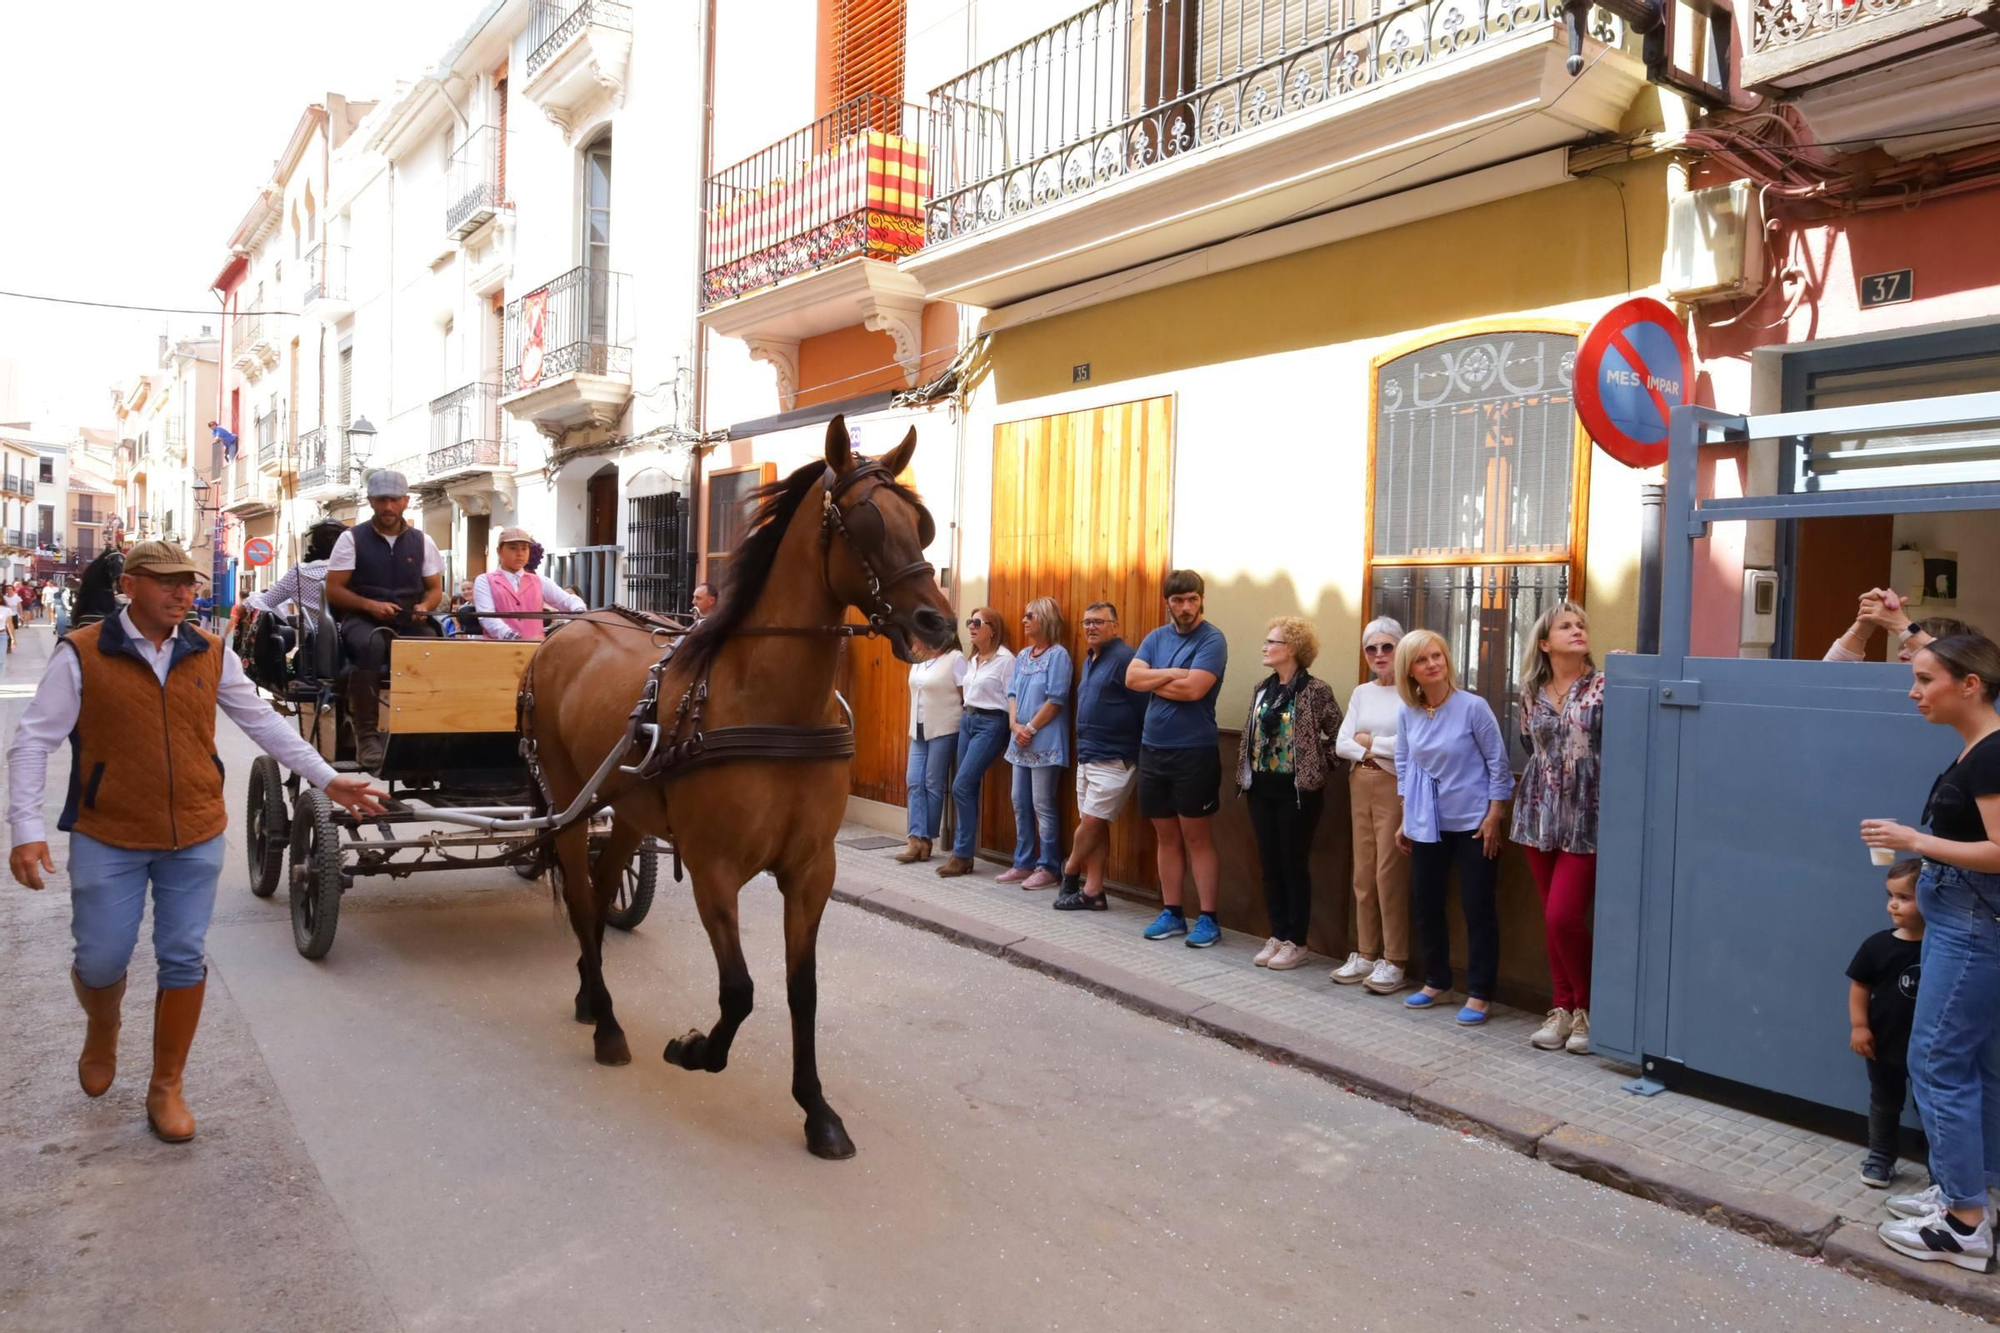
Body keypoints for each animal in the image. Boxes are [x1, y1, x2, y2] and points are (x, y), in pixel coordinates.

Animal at [524, 412, 960, 1152]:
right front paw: (697, 1048)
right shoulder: (714, 868)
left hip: (629, 809)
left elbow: (800, 990)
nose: (941, 621)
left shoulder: (812, 869)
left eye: (923, 524)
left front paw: (816, 1108)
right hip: (572, 800)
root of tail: (569, 628)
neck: (771, 703)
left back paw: (589, 992)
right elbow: (740, 990)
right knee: (582, 898)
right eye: (867, 523)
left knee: (605, 886)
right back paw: (608, 1022)